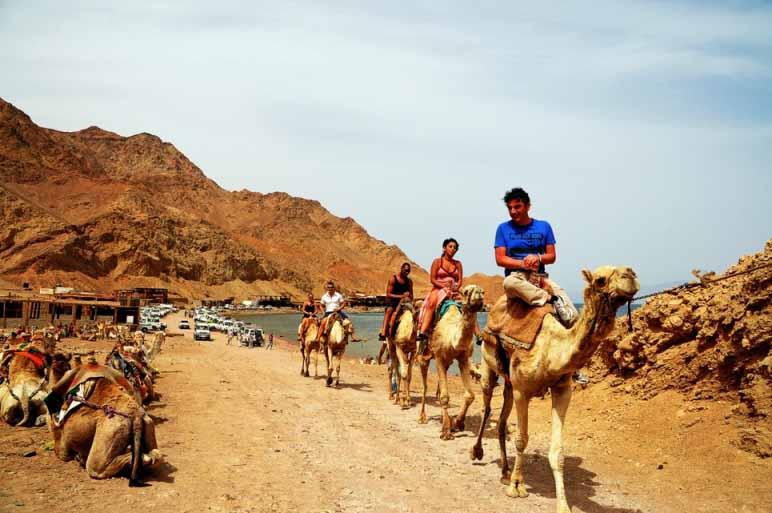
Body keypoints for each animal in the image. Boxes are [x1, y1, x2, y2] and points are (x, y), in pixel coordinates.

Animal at [45, 356, 163, 484]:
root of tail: (135, 417)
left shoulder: (61, 443)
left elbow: (61, 451)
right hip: (147, 423)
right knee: (156, 454)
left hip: (109, 432)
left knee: (96, 467)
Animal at [416, 282, 482, 438]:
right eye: (466, 291)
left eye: (482, 291)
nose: (478, 293)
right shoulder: (439, 357)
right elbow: (445, 396)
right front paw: (446, 430)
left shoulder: (463, 358)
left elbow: (469, 395)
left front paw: (457, 423)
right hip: (423, 356)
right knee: (425, 386)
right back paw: (422, 417)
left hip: (447, 362)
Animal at [470, 264, 640, 512]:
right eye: (600, 279)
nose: (631, 274)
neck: (551, 349)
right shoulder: (523, 391)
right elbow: (521, 439)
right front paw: (517, 486)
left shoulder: (562, 390)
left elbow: (558, 452)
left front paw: (562, 505)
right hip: (488, 365)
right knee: (487, 407)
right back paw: (477, 452)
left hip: (509, 383)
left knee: (501, 421)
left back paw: (504, 471)